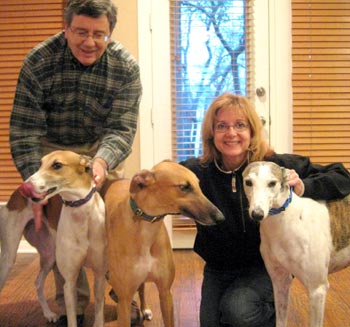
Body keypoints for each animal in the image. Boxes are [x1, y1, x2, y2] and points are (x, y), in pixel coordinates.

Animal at [23, 151, 106, 327]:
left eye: (57, 165)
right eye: (40, 164)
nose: (24, 188)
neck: (81, 212)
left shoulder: (100, 274)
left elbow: (99, 310)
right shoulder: (69, 281)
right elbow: (72, 318)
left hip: (49, 256)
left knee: (38, 283)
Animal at [101, 161, 226, 327]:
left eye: (199, 185)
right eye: (184, 187)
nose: (221, 218)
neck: (146, 226)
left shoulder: (166, 292)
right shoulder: (124, 301)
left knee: (141, 288)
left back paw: (145, 308)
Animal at [242, 162, 350, 327]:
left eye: (272, 183)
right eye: (248, 182)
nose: (257, 214)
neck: (284, 220)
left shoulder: (317, 290)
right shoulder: (280, 281)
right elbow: (280, 320)